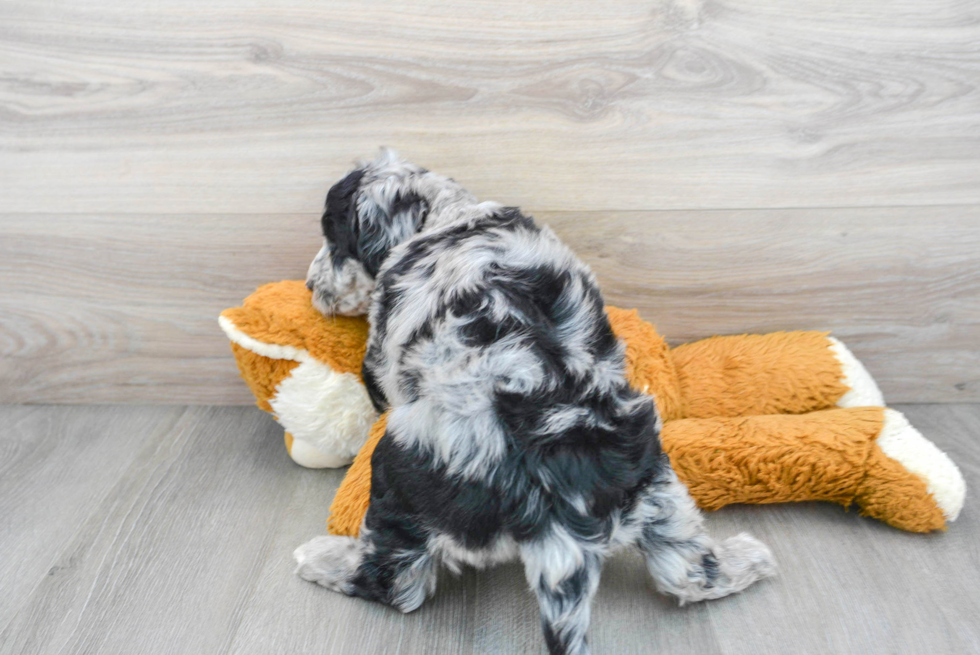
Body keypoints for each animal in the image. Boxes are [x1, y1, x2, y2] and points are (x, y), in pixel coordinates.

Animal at [294, 151, 776, 652]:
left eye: (334, 236)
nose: (309, 286)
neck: (449, 218)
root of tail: (557, 489)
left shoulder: (381, 348)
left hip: (401, 473)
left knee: (398, 582)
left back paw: (323, 558)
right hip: (656, 481)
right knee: (685, 570)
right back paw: (749, 559)